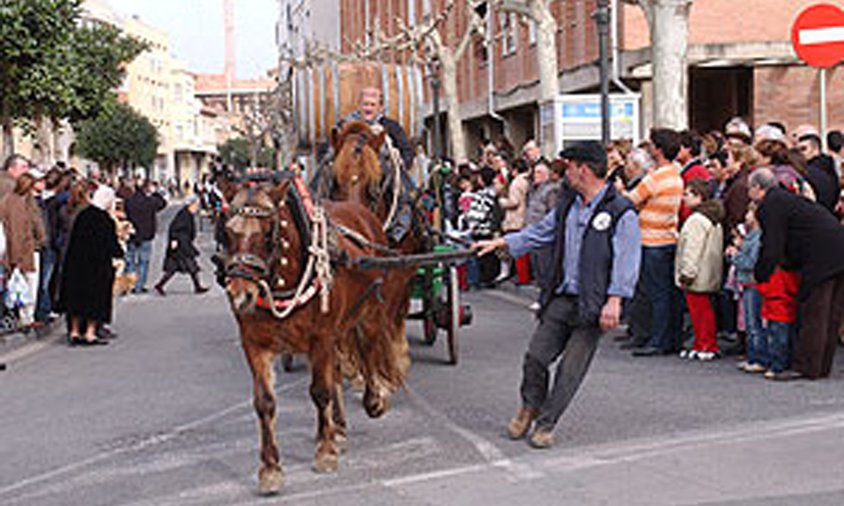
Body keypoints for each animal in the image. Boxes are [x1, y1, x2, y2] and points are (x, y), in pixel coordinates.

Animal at [219, 175, 410, 494]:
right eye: (228, 231)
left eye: (268, 232)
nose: (241, 295)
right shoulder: (255, 344)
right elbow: (265, 403)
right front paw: (271, 468)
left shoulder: (320, 337)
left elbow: (321, 392)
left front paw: (325, 452)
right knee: (337, 372)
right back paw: (339, 428)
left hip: (368, 313)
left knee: (369, 351)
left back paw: (374, 400)